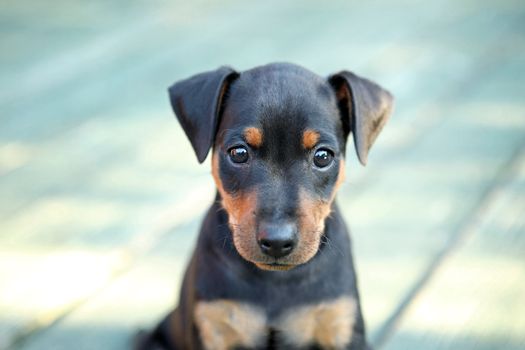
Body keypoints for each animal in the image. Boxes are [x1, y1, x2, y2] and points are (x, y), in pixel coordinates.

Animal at [135, 63, 392, 350]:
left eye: (323, 156)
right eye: (238, 153)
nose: (277, 242)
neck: (275, 279)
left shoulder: (340, 324)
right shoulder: (212, 326)